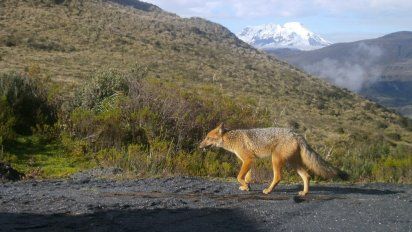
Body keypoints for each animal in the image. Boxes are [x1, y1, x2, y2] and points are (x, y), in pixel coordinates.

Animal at [200, 123, 348, 196]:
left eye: (207, 138)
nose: (199, 146)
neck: (233, 139)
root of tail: (295, 133)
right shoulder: (248, 161)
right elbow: (247, 176)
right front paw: (246, 186)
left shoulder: (248, 159)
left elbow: (239, 176)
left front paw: (245, 186)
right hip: (293, 163)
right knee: (307, 175)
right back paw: (304, 193)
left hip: (276, 160)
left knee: (278, 177)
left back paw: (268, 190)